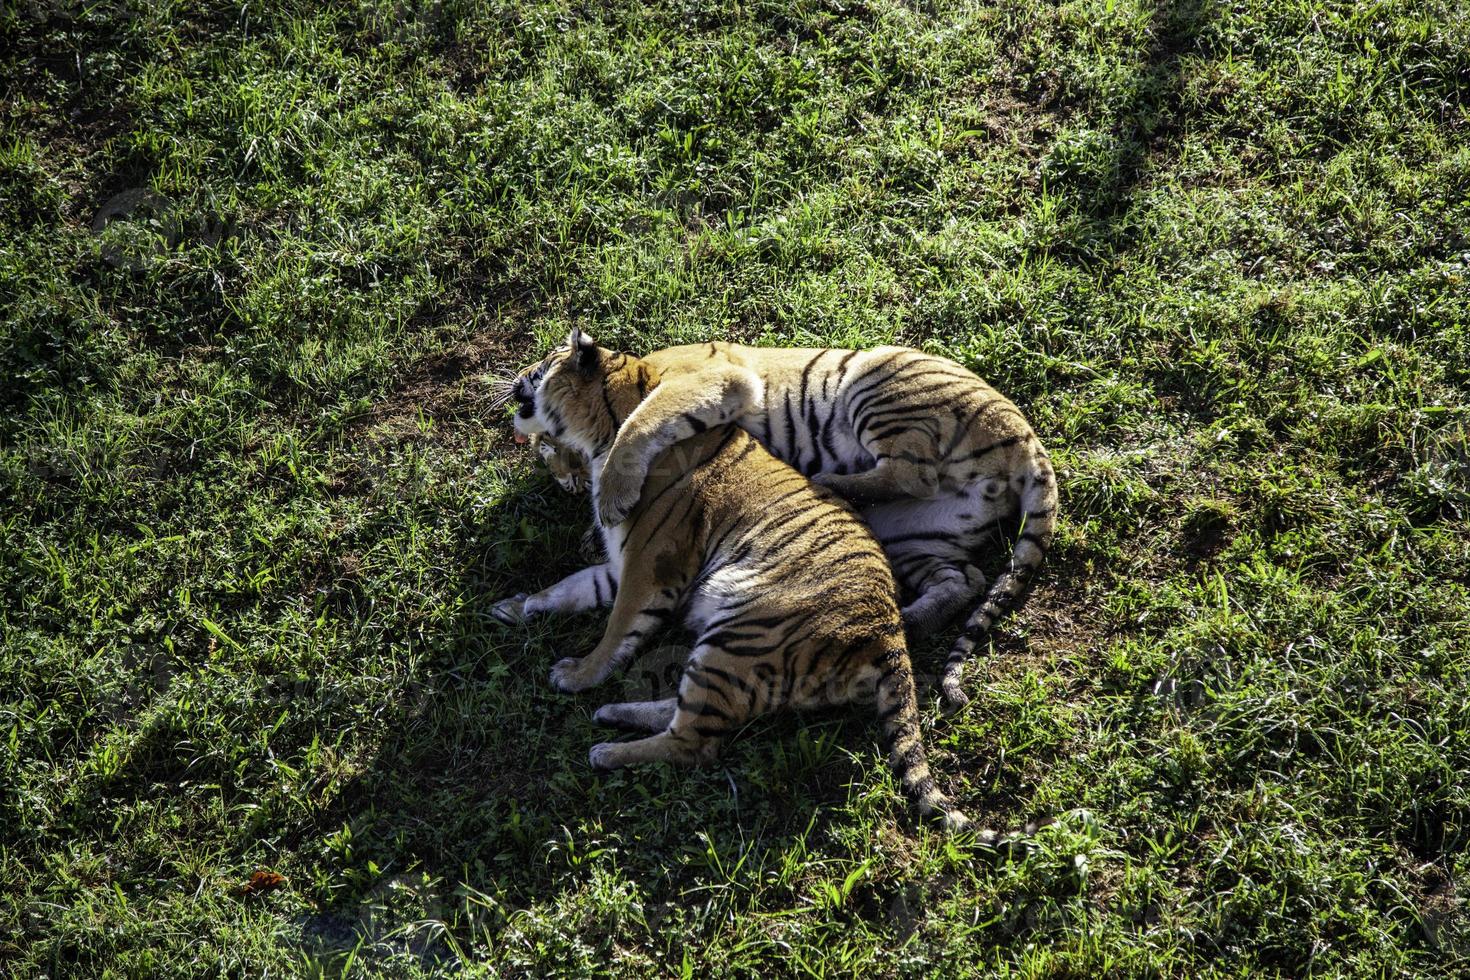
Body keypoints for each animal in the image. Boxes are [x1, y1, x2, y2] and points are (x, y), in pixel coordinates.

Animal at [493, 332, 987, 834]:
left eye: (542, 363)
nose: (513, 379)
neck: (603, 432)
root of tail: (889, 635)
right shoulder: (623, 562)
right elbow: (573, 587)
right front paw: (518, 607)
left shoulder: (650, 564)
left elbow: (616, 629)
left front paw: (577, 674)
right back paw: (613, 714)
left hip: (738, 635)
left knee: (695, 743)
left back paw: (607, 751)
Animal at [505, 340, 1058, 708]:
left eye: (541, 364)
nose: (514, 382)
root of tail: (1023, 434)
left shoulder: (711, 380)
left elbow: (643, 421)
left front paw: (612, 496)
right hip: (913, 531)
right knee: (964, 577)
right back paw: (909, 618)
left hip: (876, 382)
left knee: (913, 472)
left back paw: (829, 480)